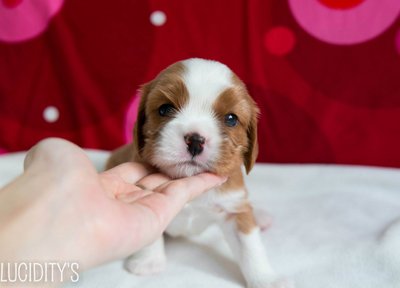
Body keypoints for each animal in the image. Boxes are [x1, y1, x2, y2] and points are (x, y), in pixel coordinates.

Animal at [104, 58, 290, 288]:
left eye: (231, 119)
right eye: (165, 109)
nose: (195, 140)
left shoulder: (234, 208)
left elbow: (250, 247)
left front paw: (266, 278)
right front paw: (148, 262)